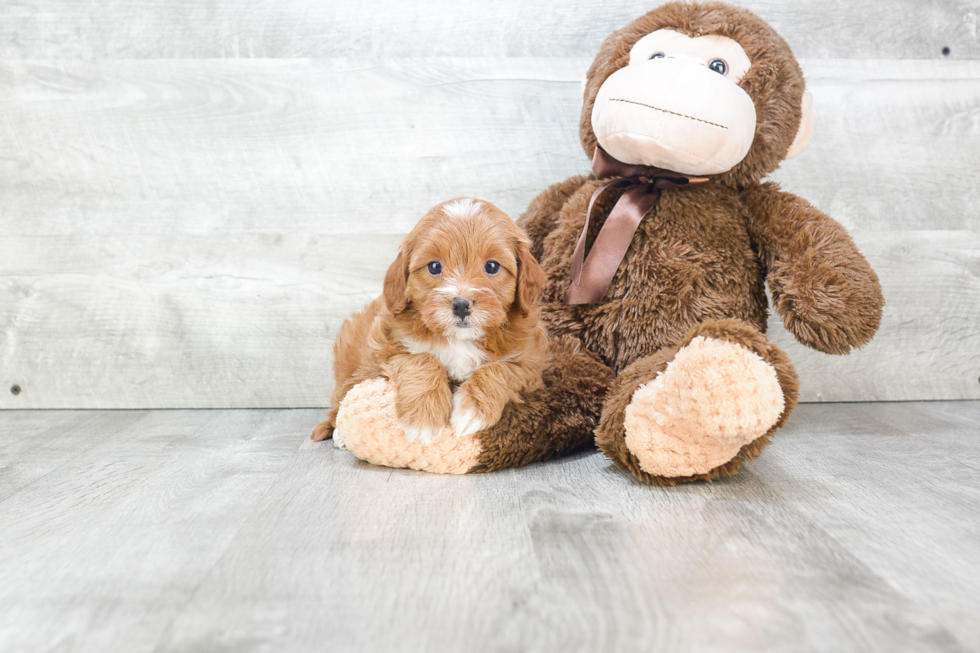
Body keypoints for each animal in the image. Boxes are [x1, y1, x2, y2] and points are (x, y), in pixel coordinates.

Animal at [310, 196, 548, 446]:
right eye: (434, 266)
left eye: (492, 266)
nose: (461, 305)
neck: (459, 339)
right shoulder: (383, 349)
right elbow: (421, 359)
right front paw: (424, 416)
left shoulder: (531, 362)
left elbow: (502, 369)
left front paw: (473, 408)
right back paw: (338, 433)